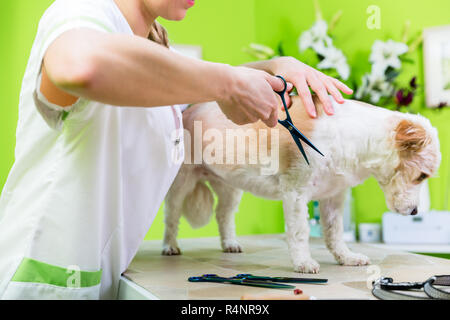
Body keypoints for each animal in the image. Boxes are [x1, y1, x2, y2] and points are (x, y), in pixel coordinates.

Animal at [161, 96, 440, 274]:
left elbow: (335, 233)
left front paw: (346, 257)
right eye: (422, 176)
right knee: (172, 217)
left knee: (223, 214)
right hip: (180, 185)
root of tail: (187, 112)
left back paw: (229, 243)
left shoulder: (333, 197)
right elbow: (299, 232)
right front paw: (303, 262)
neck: (353, 137)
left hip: (230, 185)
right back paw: (169, 246)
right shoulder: (295, 192)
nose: (415, 212)